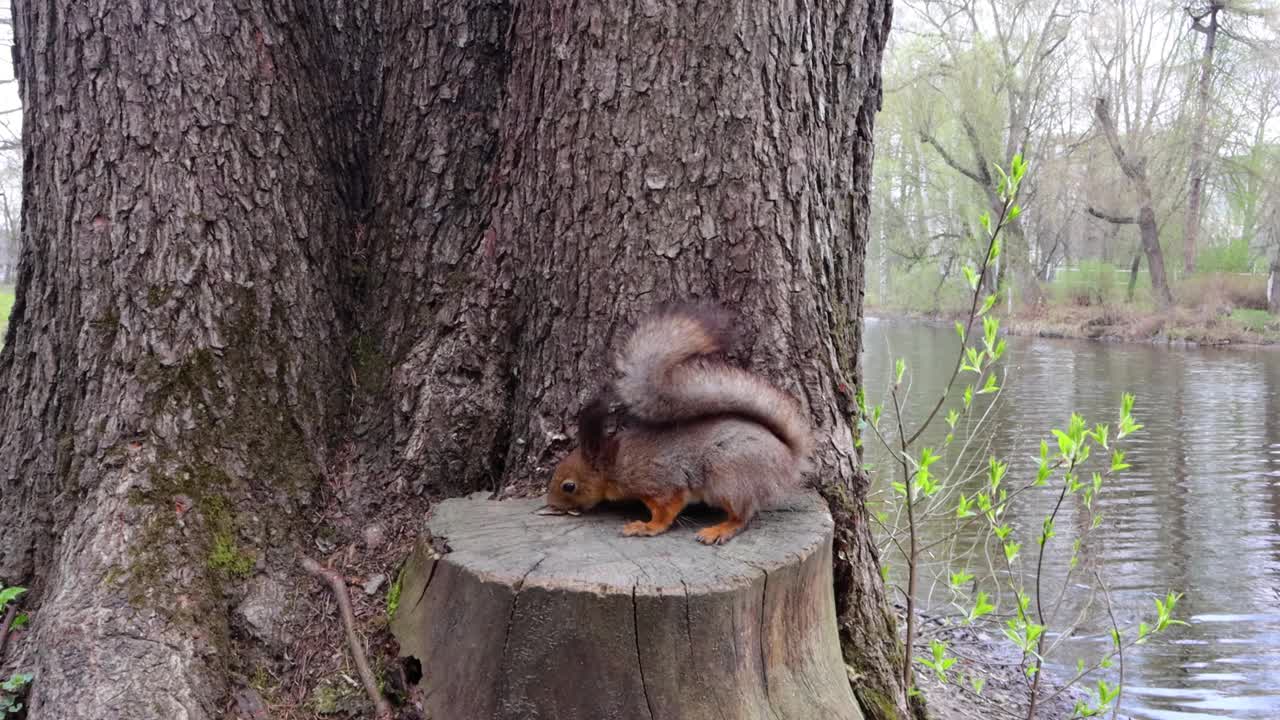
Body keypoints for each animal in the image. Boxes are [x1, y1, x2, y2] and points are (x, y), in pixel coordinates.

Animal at [545, 299, 814, 540]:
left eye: (569, 486)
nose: (550, 504)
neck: (615, 461)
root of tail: (789, 458)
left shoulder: (661, 481)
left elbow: (666, 510)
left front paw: (647, 527)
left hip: (729, 478)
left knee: (743, 515)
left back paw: (720, 530)